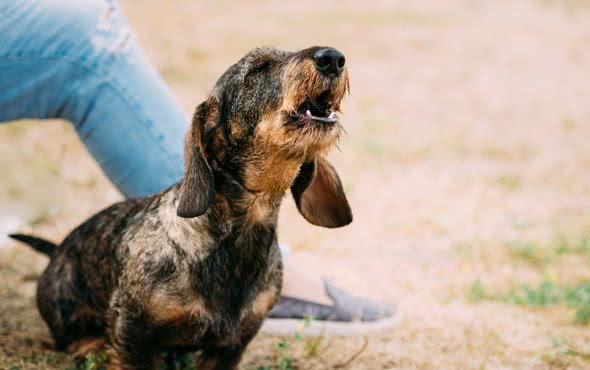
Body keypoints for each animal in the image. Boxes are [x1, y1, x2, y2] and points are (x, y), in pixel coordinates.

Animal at [10, 46, 352, 370]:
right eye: (258, 67)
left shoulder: (231, 345)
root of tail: (56, 250)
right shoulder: (132, 331)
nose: (333, 57)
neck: (236, 239)